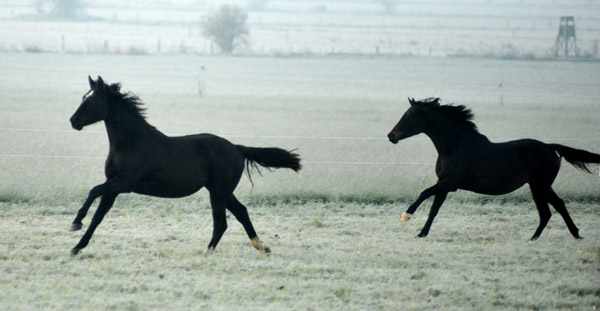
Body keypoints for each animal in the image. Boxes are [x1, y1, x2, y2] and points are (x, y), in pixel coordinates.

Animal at [70, 77, 302, 258]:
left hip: (219, 192)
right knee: (241, 212)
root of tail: (237, 148)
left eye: (93, 99)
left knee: (221, 223)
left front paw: (76, 222)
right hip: (221, 191)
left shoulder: (124, 183)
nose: (73, 121)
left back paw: (207, 252)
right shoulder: (113, 186)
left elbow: (93, 191)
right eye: (82, 96)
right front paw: (77, 247)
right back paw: (262, 246)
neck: (131, 142)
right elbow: (98, 216)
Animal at [386, 98, 596, 240]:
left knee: (546, 212)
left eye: (410, 116)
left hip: (538, 186)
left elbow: (424, 193)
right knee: (558, 205)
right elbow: (434, 209)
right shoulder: (443, 183)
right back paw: (575, 234)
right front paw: (422, 233)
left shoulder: (451, 183)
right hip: (542, 186)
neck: (455, 147)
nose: (391, 136)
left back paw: (533, 239)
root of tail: (551, 147)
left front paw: (406, 215)